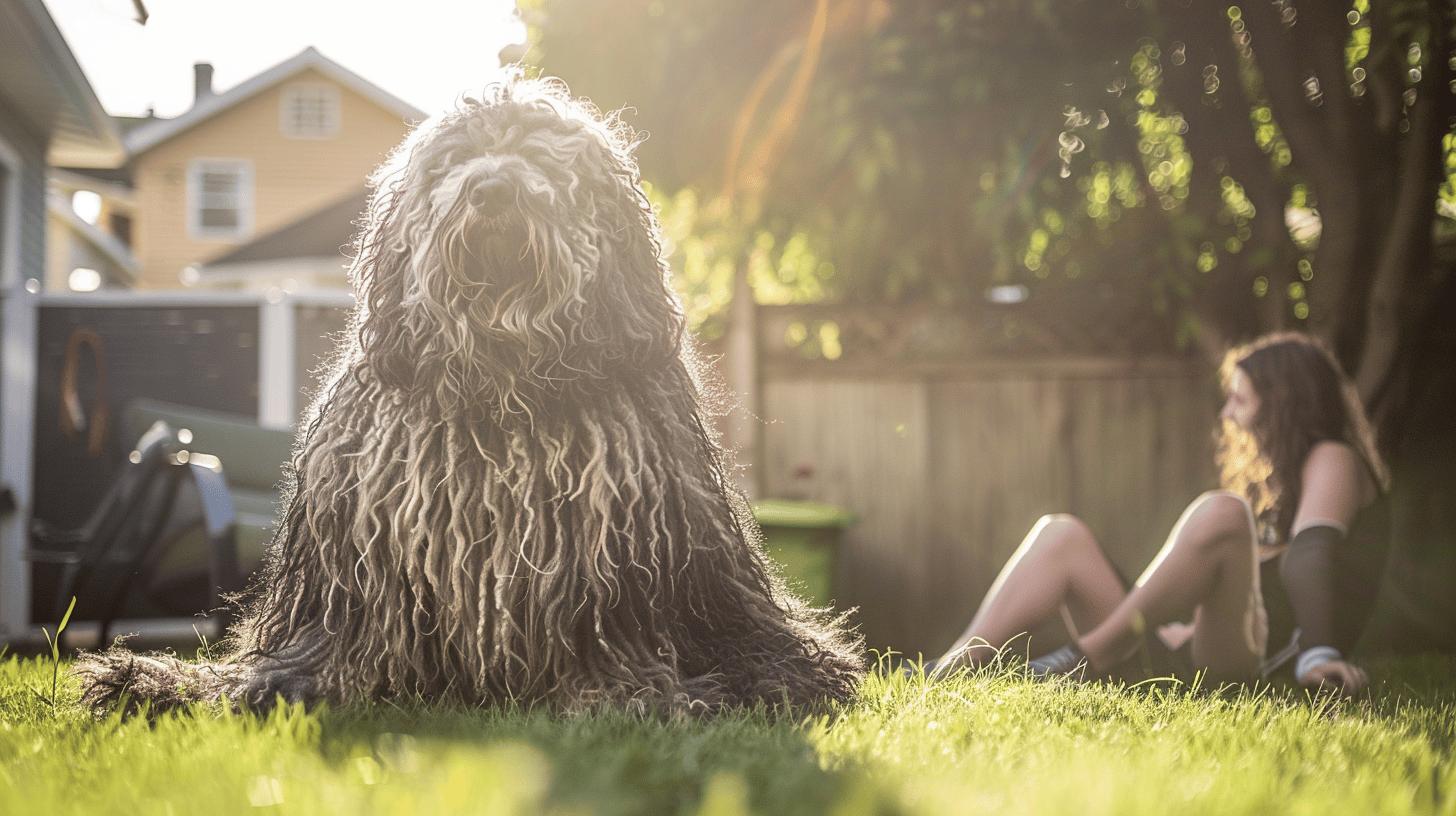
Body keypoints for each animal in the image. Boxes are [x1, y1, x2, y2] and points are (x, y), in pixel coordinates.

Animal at [73, 75, 861, 714]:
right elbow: (310, 658)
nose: (492, 190)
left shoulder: (609, 566)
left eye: (543, 158)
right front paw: (192, 682)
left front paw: (634, 696)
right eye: (452, 162)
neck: (501, 375)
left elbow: (610, 638)